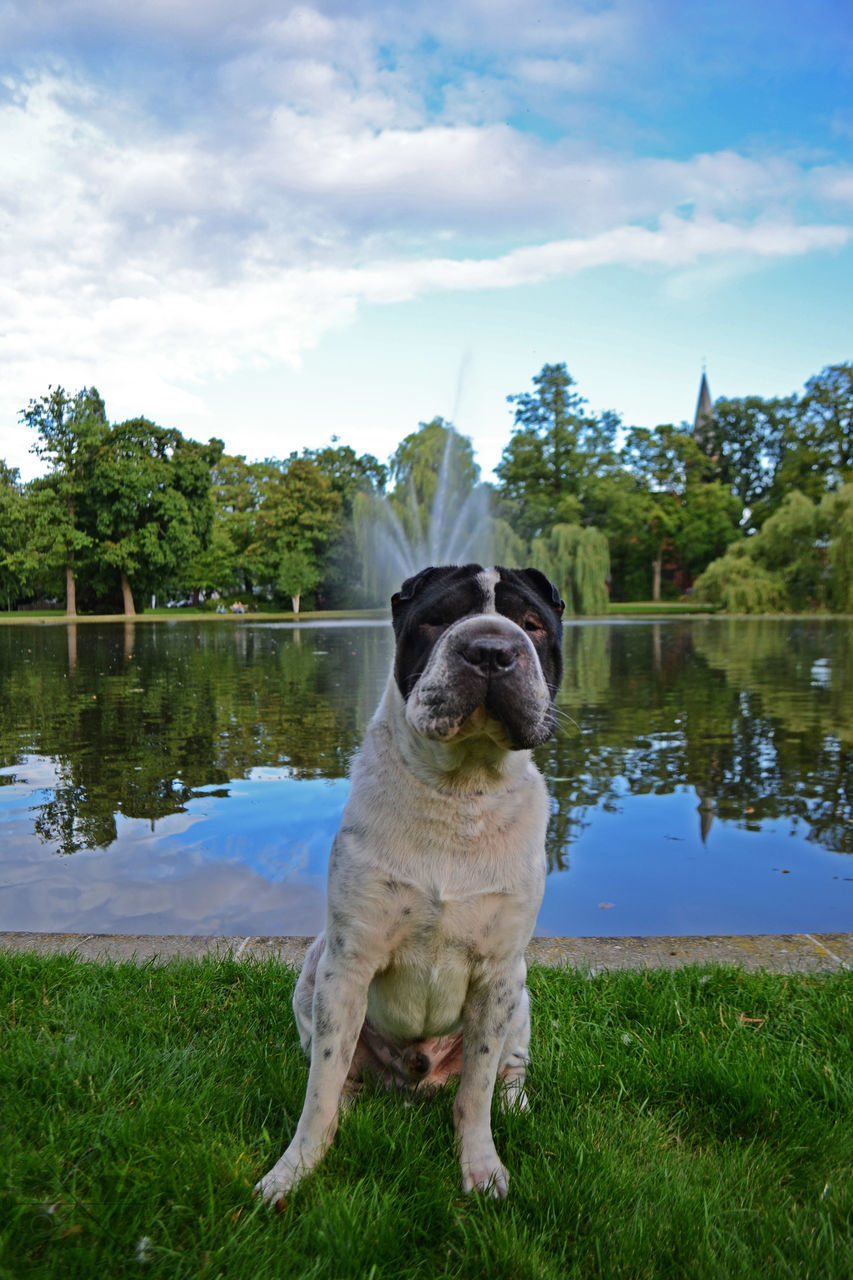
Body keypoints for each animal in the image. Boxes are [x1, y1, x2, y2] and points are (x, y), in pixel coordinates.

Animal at [256, 565, 560, 1203]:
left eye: (532, 624)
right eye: (437, 620)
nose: (491, 650)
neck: (460, 796)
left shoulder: (497, 972)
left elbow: (476, 1092)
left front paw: (481, 1165)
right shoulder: (347, 964)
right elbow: (319, 1092)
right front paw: (294, 1169)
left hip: (519, 991)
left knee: (508, 1070)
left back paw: (516, 1105)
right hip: (314, 971)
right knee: (339, 1074)